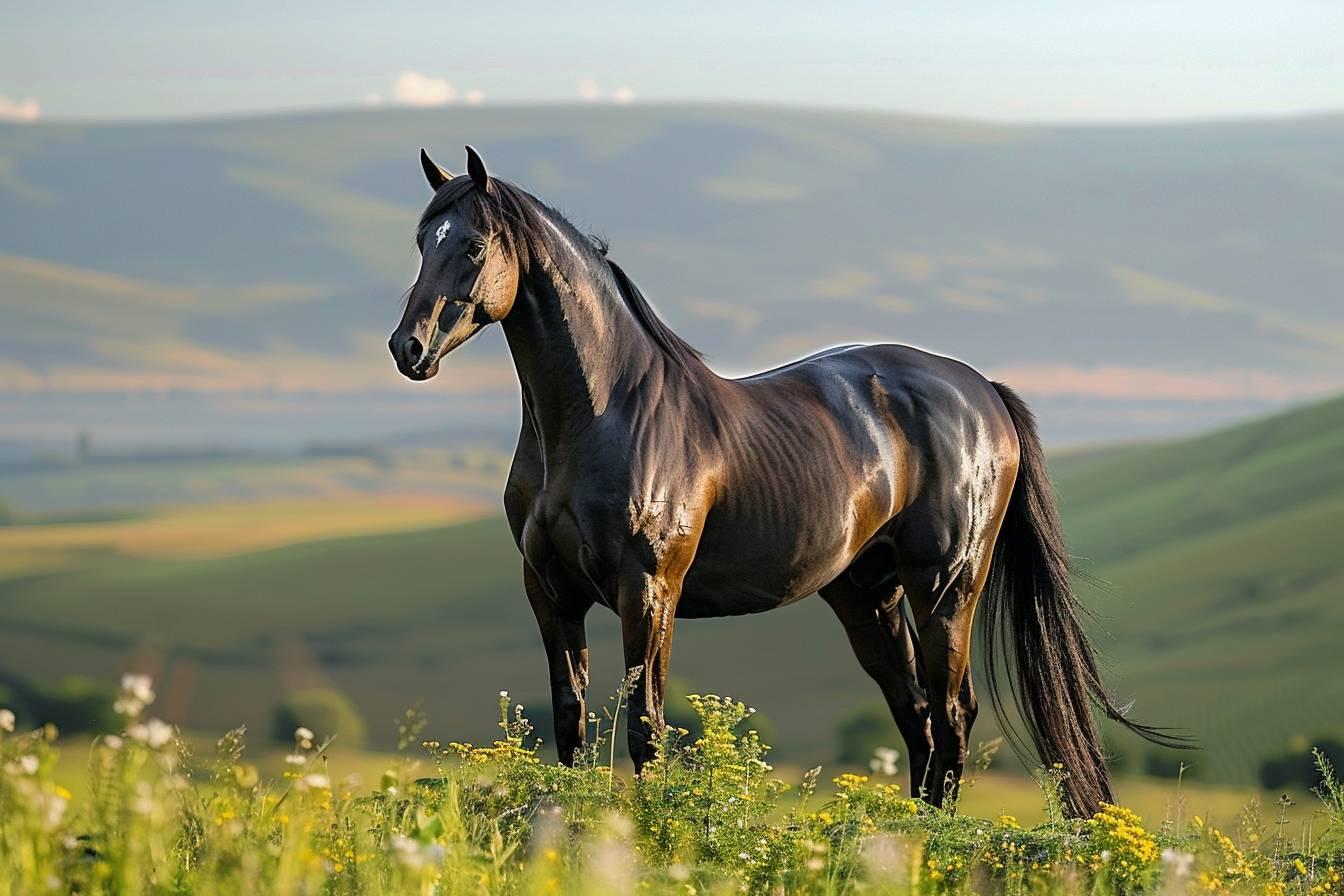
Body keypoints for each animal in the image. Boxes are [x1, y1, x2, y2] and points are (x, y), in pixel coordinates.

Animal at [387, 143, 1177, 816]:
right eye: (424, 241)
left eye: (473, 245)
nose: (408, 348)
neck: (600, 415)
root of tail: (981, 390)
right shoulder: (551, 593)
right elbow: (571, 722)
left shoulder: (649, 593)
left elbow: (645, 726)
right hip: (868, 593)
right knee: (917, 713)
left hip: (946, 586)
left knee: (952, 712)